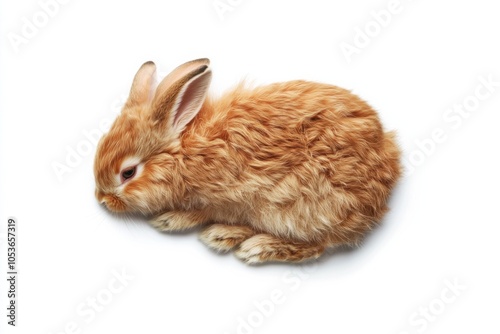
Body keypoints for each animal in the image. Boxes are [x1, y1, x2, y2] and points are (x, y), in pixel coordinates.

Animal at [94, 59, 400, 264]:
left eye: (128, 173)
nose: (102, 200)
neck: (184, 154)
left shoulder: (226, 196)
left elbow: (201, 212)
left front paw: (170, 220)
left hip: (301, 207)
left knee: (316, 245)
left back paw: (252, 245)